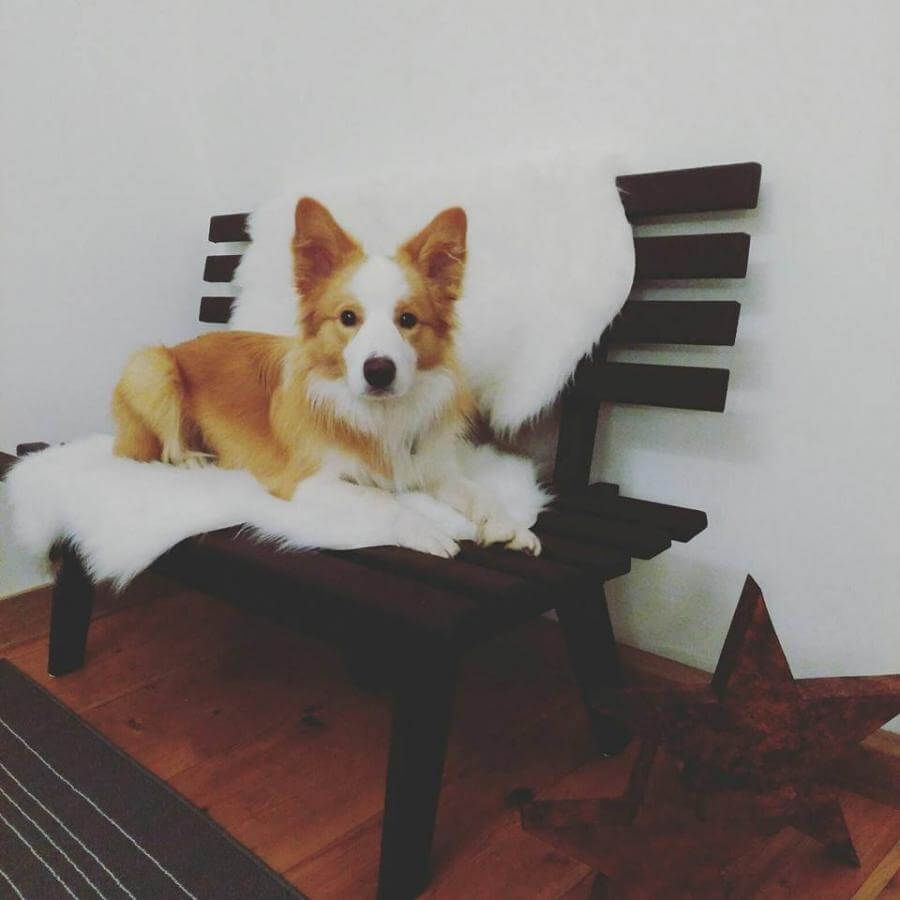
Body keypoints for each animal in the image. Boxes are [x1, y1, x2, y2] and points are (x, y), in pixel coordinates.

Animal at [111, 197, 542, 558]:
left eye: (408, 319)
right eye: (348, 317)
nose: (379, 371)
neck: (380, 415)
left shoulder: (432, 468)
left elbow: (480, 493)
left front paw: (507, 524)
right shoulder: (306, 480)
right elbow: (381, 498)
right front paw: (427, 528)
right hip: (152, 367)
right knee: (169, 446)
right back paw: (194, 461)